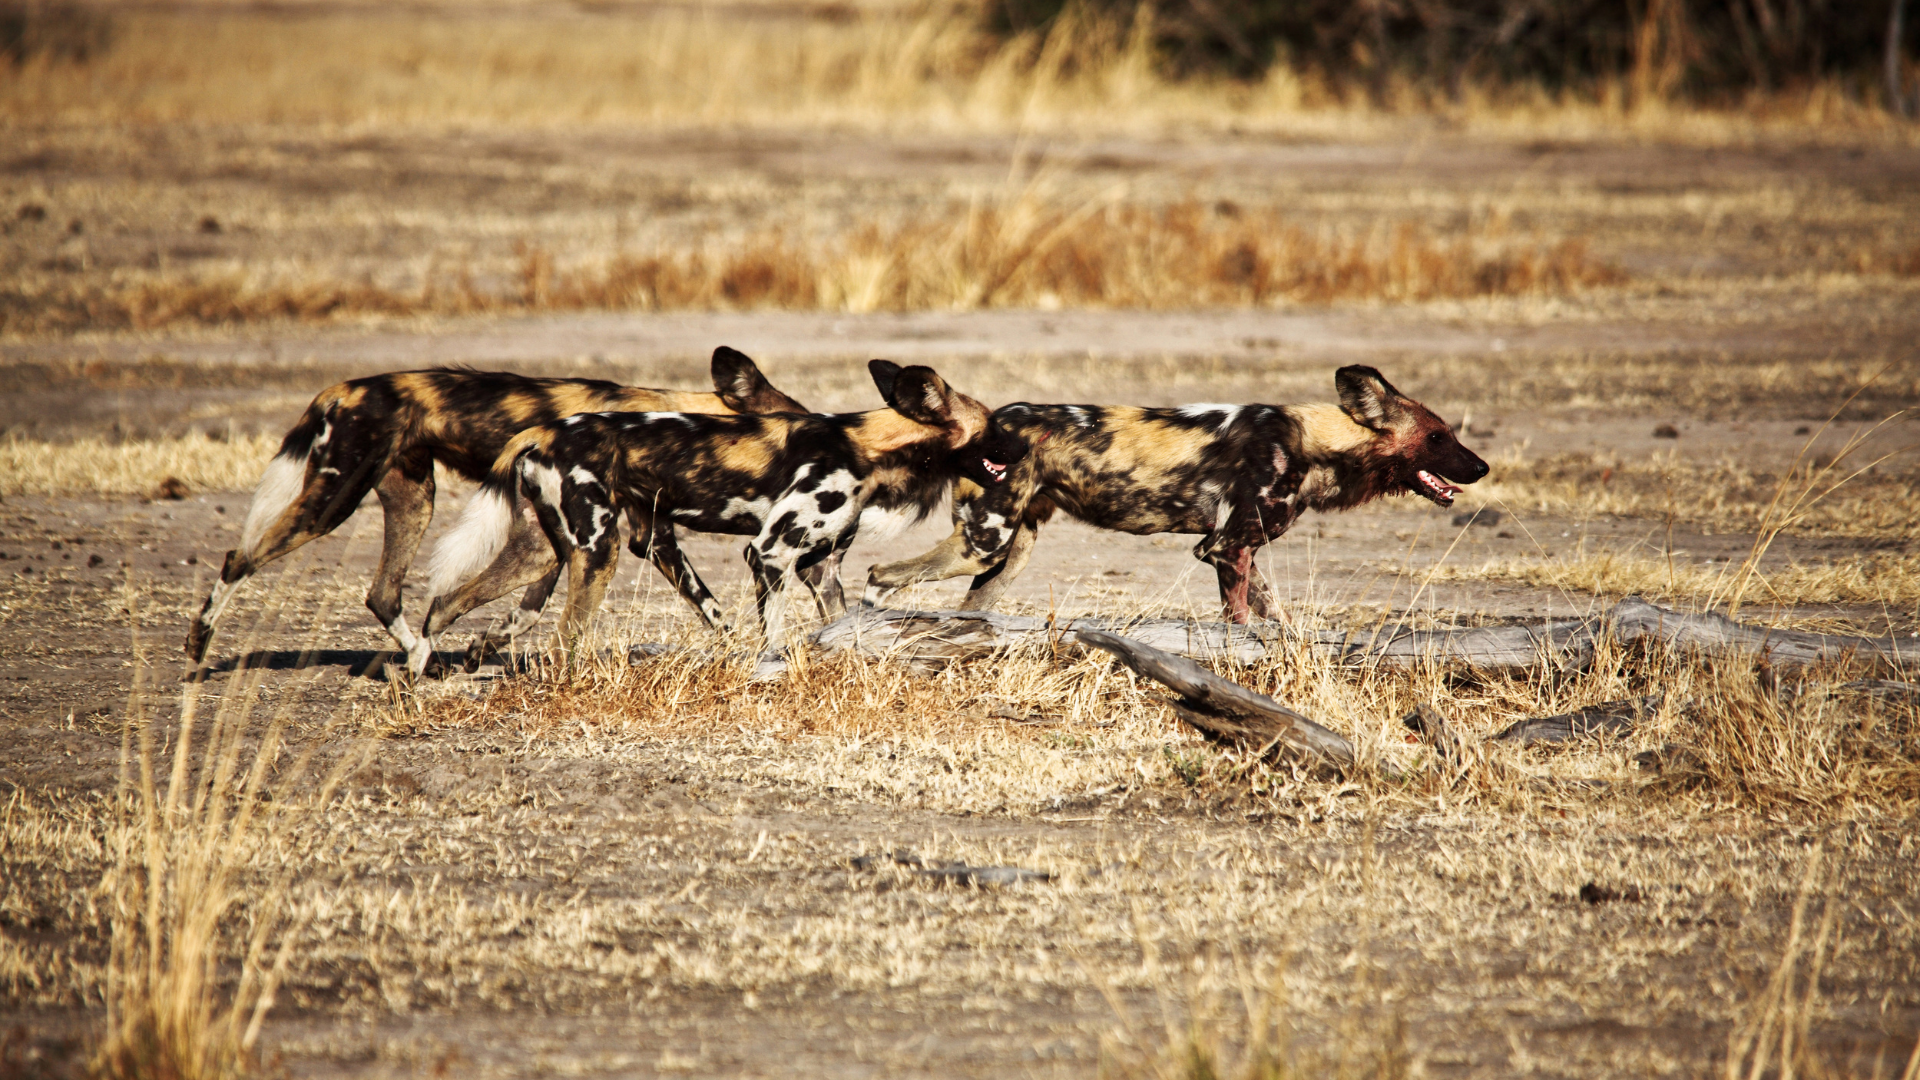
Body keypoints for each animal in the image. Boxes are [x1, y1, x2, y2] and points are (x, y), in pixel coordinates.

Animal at [185, 343, 802, 664]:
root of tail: (342, 387)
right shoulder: (622, 538)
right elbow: (714, 610)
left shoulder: (584, 540)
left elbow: (525, 612)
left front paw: (489, 645)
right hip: (331, 504)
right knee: (240, 558)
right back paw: (199, 644)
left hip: (414, 501)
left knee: (383, 594)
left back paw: (420, 658)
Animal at [414, 357, 1029, 668]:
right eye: (996, 428)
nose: (1026, 450)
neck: (866, 444)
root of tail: (543, 430)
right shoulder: (770, 553)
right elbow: (773, 636)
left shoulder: (819, 568)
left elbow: (841, 627)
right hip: (596, 552)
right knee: (564, 639)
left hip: (542, 555)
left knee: (444, 607)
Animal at [864, 361, 1489, 618]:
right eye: (1438, 437)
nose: (1482, 467)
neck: (1312, 441)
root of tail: (992, 420)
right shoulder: (1225, 549)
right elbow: (1240, 624)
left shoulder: (1237, 552)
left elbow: (1276, 623)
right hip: (981, 543)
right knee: (879, 574)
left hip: (1007, 555)